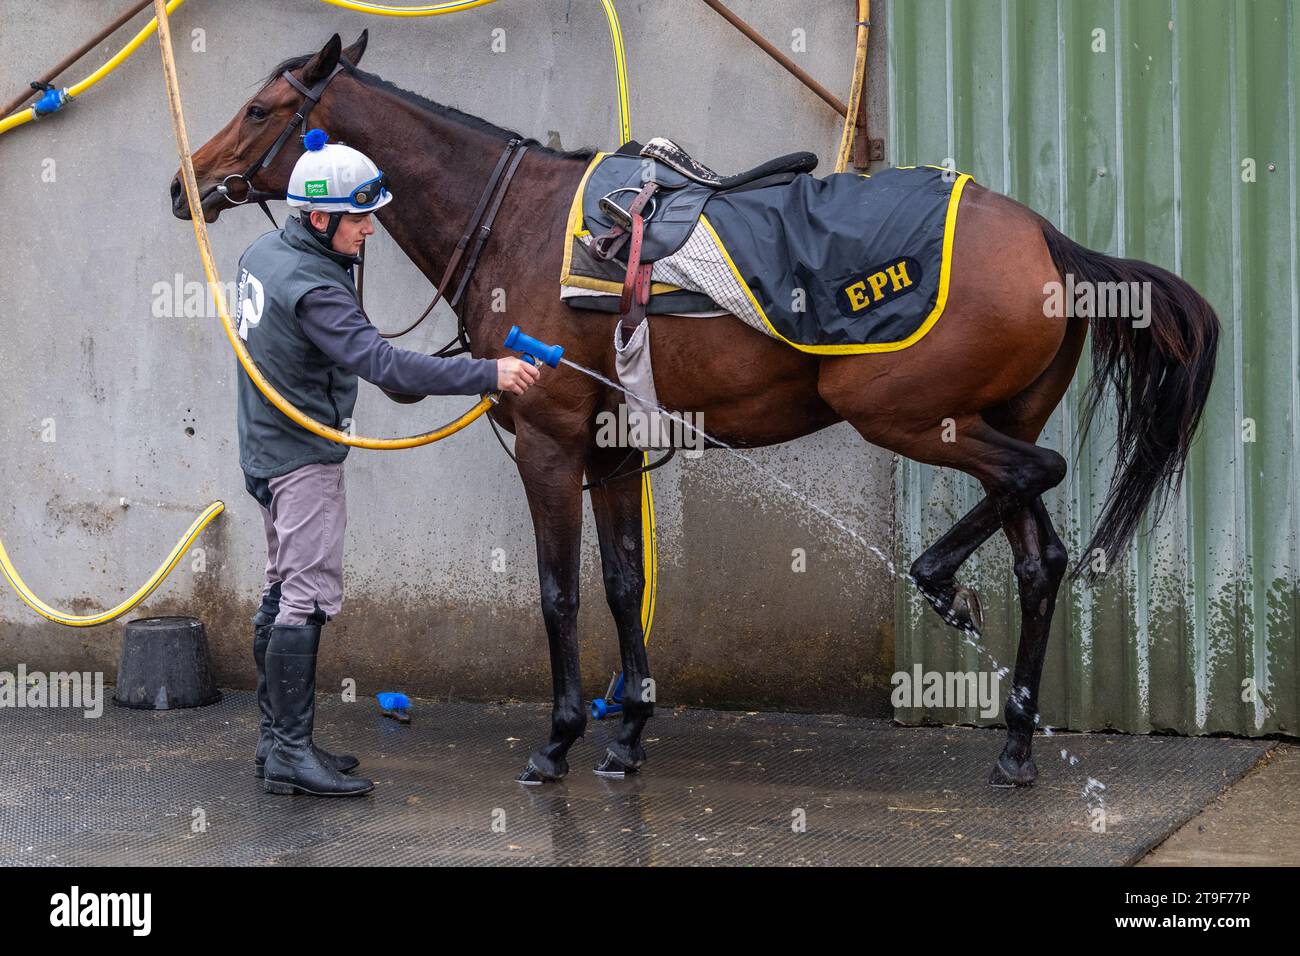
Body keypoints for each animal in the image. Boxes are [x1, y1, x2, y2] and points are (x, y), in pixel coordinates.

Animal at [171, 32, 1219, 788]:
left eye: (262, 108)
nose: (185, 183)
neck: (516, 221)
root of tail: (1046, 239)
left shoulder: (550, 445)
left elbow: (559, 593)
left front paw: (560, 740)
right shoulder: (610, 451)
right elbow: (624, 584)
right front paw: (628, 730)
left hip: (911, 416)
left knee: (1034, 479)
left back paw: (938, 580)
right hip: (990, 417)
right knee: (1041, 557)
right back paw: (1015, 744)